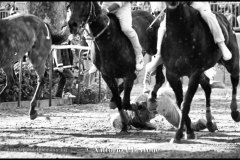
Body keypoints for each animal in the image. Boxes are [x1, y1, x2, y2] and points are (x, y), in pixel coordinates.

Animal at [68, 1, 161, 131]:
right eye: (69, 5)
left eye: (85, 3)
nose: (72, 25)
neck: (108, 40)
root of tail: (151, 15)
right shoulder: (107, 75)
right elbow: (118, 99)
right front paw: (124, 120)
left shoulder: (128, 73)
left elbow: (126, 103)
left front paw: (139, 109)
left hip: (155, 49)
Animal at [150, 1, 240, 142]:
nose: (156, 12)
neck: (179, 34)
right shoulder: (172, 74)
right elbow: (180, 102)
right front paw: (189, 131)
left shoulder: (195, 72)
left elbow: (185, 103)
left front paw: (178, 134)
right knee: (207, 88)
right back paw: (209, 123)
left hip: (232, 62)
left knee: (235, 79)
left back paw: (235, 112)